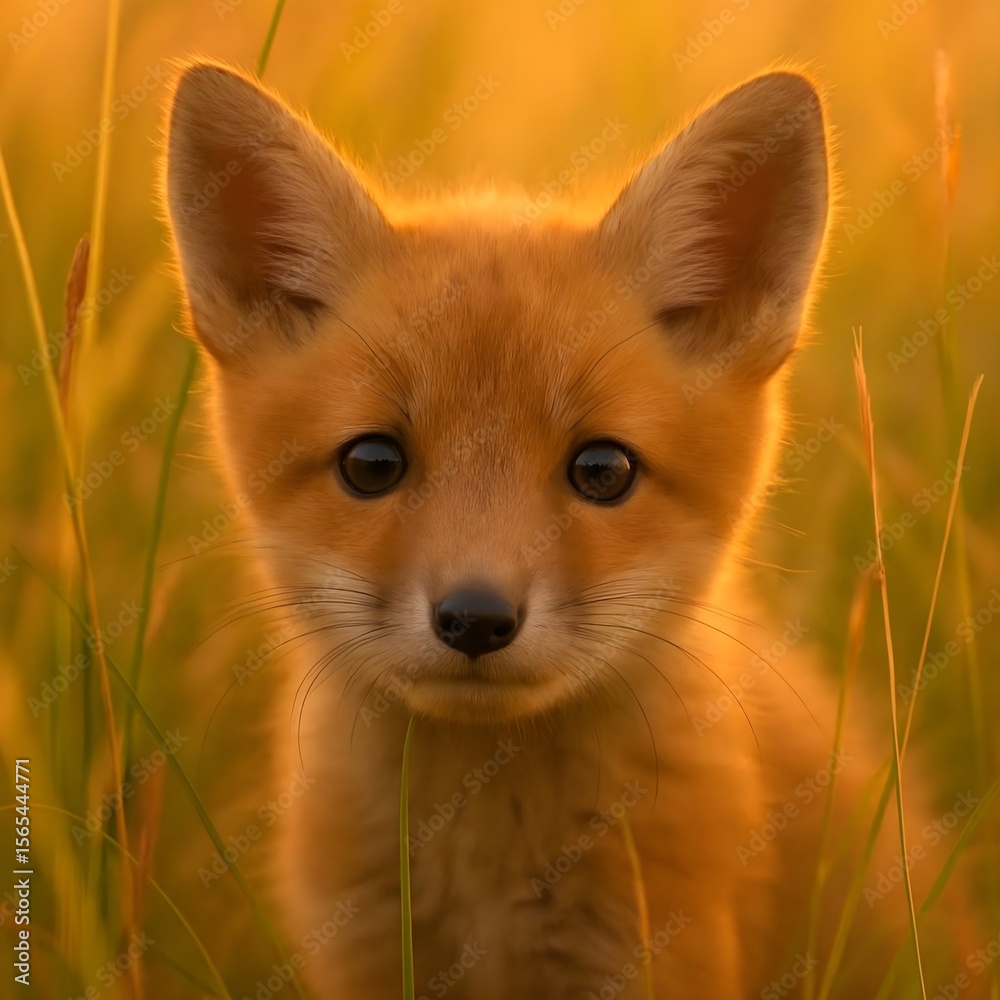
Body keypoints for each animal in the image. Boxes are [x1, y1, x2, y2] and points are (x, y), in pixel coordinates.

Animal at [163, 60, 981, 998]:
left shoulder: (657, 953)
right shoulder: (361, 955)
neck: (483, 865)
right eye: (372, 463)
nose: (475, 619)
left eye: (602, 470)